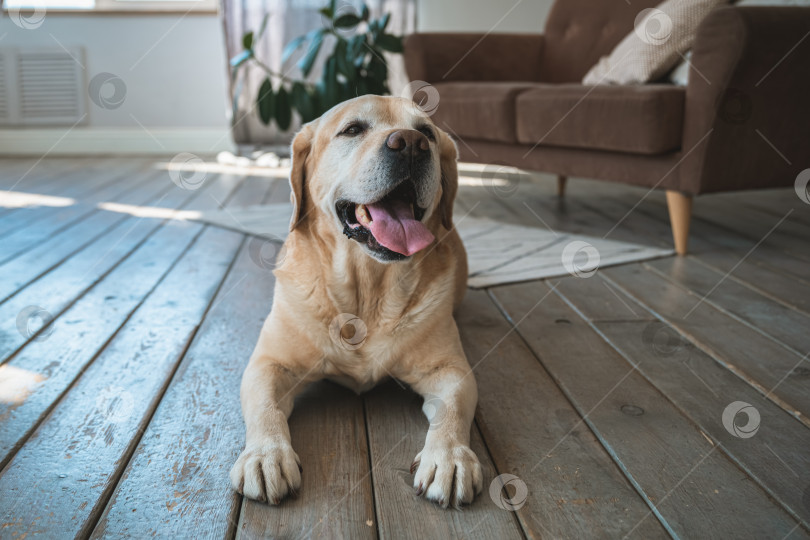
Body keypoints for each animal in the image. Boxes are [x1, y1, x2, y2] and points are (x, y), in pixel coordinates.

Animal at [229, 95, 480, 508]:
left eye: (426, 132)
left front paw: (449, 458)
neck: (367, 287)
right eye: (352, 129)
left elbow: (455, 409)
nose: (411, 144)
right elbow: (265, 408)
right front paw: (265, 456)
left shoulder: (450, 370)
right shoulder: (269, 364)